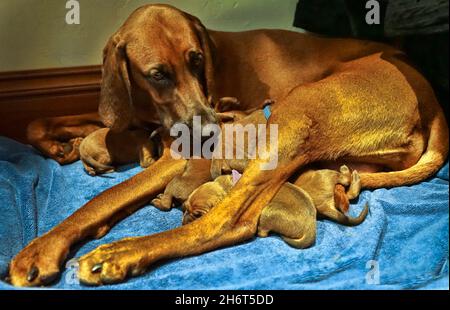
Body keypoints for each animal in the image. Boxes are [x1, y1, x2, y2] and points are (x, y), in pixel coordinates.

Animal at [10, 4, 446, 288]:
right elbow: (37, 122)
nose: (209, 129)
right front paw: (61, 146)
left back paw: (121, 254)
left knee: (228, 222)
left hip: (295, 110)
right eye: (157, 74)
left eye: (197, 59)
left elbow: (102, 199)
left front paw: (41, 249)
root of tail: (430, 97)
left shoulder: (178, 155)